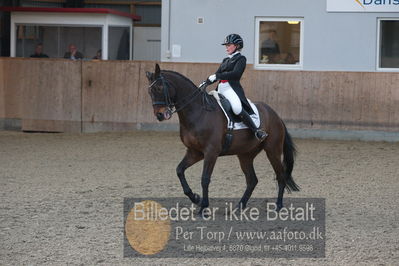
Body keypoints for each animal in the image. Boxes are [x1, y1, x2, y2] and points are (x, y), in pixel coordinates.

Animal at [145, 63, 298, 213]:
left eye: (160, 88)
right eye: (149, 92)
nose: (160, 115)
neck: (198, 112)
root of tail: (275, 115)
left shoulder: (211, 152)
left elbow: (205, 179)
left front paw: (203, 207)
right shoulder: (195, 152)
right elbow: (179, 170)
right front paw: (195, 198)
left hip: (273, 150)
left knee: (281, 176)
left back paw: (278, 206)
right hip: (245, 155)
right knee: (252, 180)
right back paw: (239, 207)